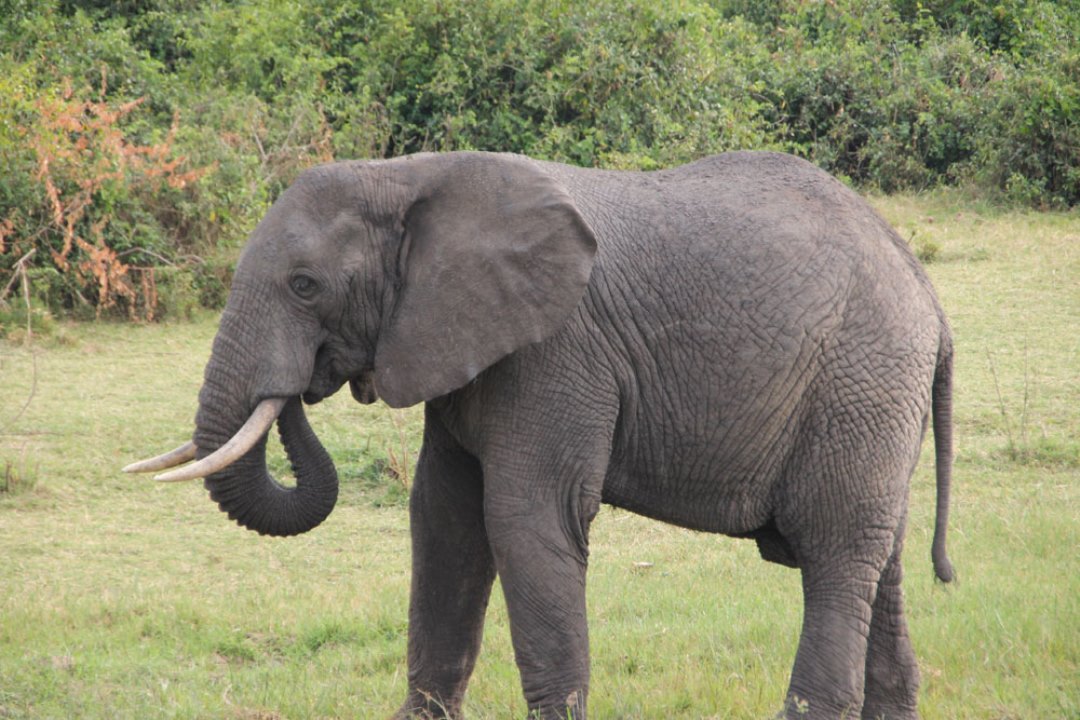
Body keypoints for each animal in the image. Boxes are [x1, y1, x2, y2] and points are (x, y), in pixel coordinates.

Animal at [126, 151, 954, 720]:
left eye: (305, 287)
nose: (301, 384)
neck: (408, 177)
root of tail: (927, 293)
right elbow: (445, 520)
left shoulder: (555, 351)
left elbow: (526, 518)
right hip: (874, 402)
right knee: (880, 560)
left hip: (861, 379)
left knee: (835, 554)